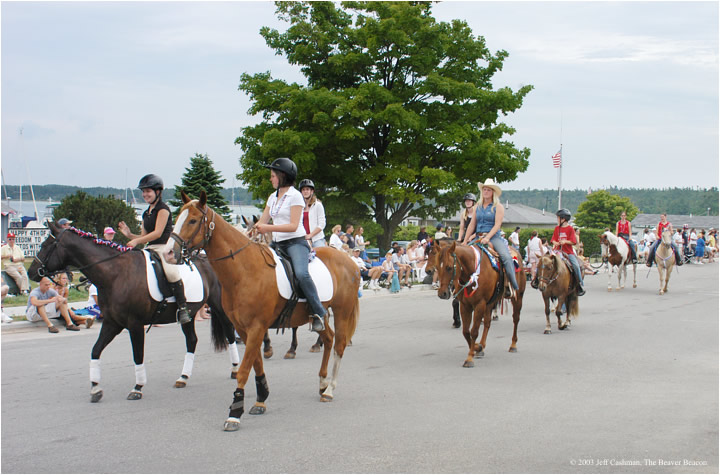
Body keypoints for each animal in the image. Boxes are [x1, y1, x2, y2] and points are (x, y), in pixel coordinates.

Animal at [168, 192, 360, 434]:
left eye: (192, 221)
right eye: (177, 218)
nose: (168, 253)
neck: (244, 269)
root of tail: (351, 262)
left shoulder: (257, 326)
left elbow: (244, 369)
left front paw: (234, 413)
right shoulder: (245, 328)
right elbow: (256, 363)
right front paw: (261, 399)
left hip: (342, 311)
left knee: (339, 344)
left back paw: (330, 389)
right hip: (320, 313)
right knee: (328, 338)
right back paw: (322, 383)